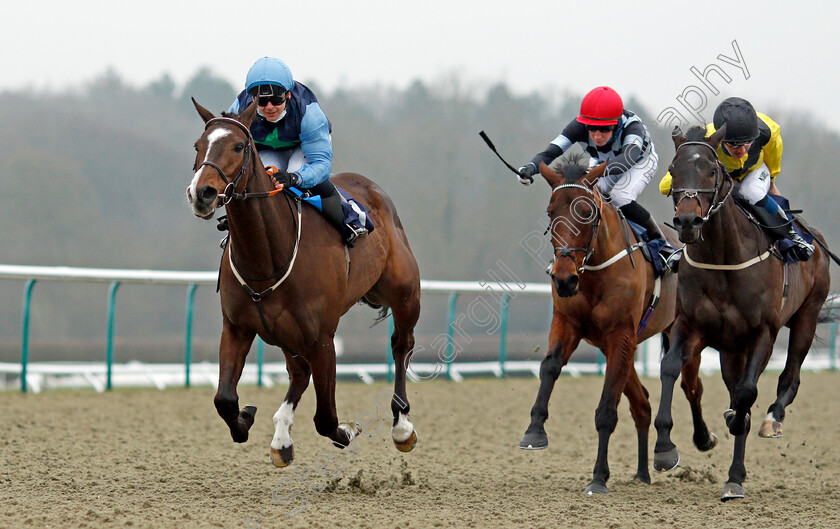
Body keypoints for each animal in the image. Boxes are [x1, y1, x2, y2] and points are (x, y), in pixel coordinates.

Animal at [185, 100, 420, 466]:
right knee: (298, 372)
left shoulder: (322, 338)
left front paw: (348, 430)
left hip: (406, 295)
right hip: (285, 332)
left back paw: (402, 426)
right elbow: (224, 399)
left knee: (401, 346)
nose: (203, 193)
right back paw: (281, 436)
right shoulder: (237, 327)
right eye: (198, 146)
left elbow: (326, 418)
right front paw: (246, 418)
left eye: (238, 146)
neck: (267, 255)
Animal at [520, 158, 716, 496]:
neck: (594, 272)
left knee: (692, 387)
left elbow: (606, 410)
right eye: (550, 212)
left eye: (587, 212)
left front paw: (599, 477)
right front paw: (534, 431)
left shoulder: (620, 335)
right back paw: (642, 473)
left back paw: (698, 440)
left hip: (680, 333)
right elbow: (550, 366)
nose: (563, 278)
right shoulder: (569, 324)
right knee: (643, 404)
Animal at [652, 125, 832, 500]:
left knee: (788, 376)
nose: (687, 221)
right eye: (673, 170)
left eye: (711, 170)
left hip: (806, 315)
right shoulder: (690, 326)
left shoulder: (763, 332)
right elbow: (671, 369)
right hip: (731, 350)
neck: (724, 259)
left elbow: (746, 395)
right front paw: (664, 449)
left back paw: (769, 422)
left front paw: (736, 463)